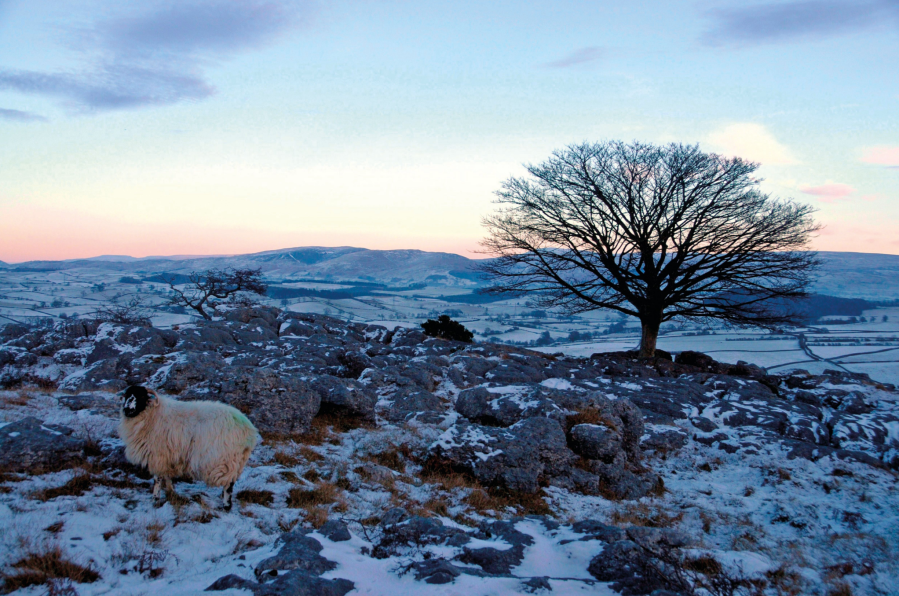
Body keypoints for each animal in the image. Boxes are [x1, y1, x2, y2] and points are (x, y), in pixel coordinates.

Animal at [118, 386, 258, 512]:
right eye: (127, 395)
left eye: (141, 396)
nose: (127, 410)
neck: (151, 414)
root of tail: (249, 430)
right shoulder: (168, 456)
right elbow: (167, 475)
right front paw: (170, 492)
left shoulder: (157, 455)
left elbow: (157, 479)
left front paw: (155, 499)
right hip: (237, 460)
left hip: (226, 460)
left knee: (229, 485)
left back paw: (226, 506)